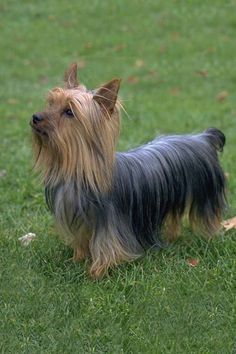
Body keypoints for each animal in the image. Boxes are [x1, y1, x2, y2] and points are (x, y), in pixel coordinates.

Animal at [30, 64, 227, 280]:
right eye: (51, 103)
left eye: (69, 112)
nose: (35, 117)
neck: (80, 169)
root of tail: (204, 138)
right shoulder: (80, 217)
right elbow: (81, 240)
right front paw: (78, 259)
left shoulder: (110, 223)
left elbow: (106, 246)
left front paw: (97, 272)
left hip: (206, 194)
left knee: (208, 218)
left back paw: (208, 237)